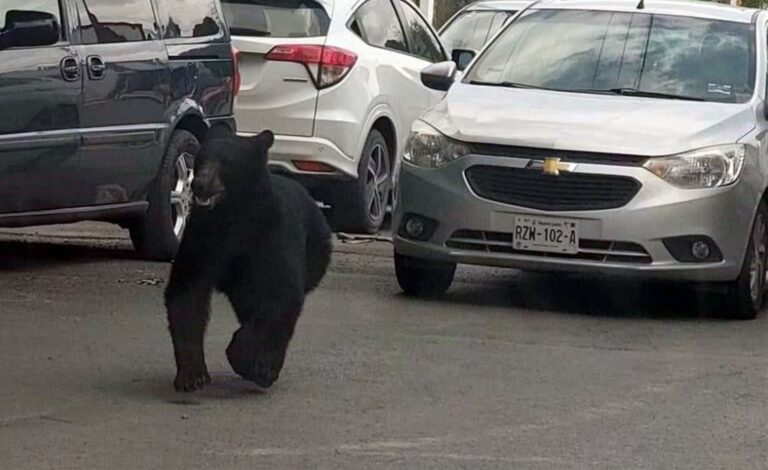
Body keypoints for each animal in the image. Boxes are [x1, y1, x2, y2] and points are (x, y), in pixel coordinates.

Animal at [164, 127, 332, 392]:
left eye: (227, 162)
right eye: (201, 159)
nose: (199, 184)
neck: (233, 215)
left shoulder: (271, 236)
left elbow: (279, 294)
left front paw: (248, 361)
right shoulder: (203, 239)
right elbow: (186, 291)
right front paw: (192, 376)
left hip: (316, 254)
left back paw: (269, 367)